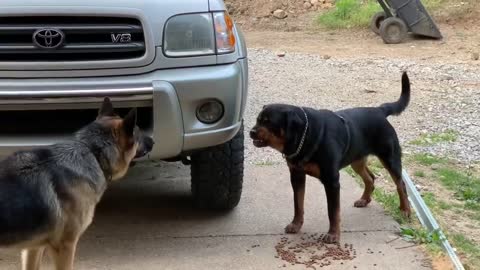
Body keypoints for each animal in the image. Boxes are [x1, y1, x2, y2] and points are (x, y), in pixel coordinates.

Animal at [249, 71, 410, 243]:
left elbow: (332, 211)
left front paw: (333, 234)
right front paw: (296, 225)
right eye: (258, 120)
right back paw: (364, 200)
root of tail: (379, 110)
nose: (251, 131)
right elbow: (298, 204)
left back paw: (405, 210)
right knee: (370, 178)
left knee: (400, 184)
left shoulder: (331, 181)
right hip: (356, 160)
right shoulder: (296, 175)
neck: (304, 136)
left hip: (389, 158)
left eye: (268, 122)